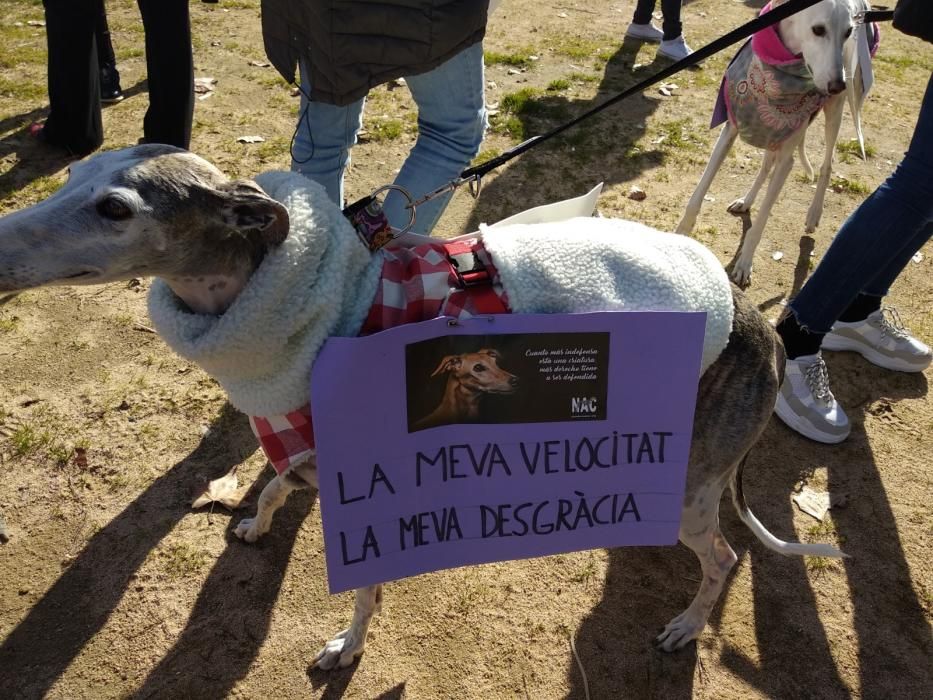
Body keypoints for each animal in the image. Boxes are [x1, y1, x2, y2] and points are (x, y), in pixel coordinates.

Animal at [0, 146, 844, 668]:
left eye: (115, 208)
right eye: (73, 174)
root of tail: (760, 325)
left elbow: (364, 586)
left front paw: (344, 648)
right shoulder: (301, 442)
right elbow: (273, 484)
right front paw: (255, 521)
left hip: (698, 481)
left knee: (723, 558)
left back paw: (684, 626)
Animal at [672, 0, 872, 286]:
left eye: (847, 33)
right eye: (818, 29)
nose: (837, 85)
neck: (779, 71)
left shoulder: (787, 159)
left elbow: (762, 219)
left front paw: (744, 263)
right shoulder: (730, 131)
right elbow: (697, 195)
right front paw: (680, 235)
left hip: (832, 114)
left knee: (827, 164)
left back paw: (813, 214)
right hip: (773, 132)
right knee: (767, 164)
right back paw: (746, 201)